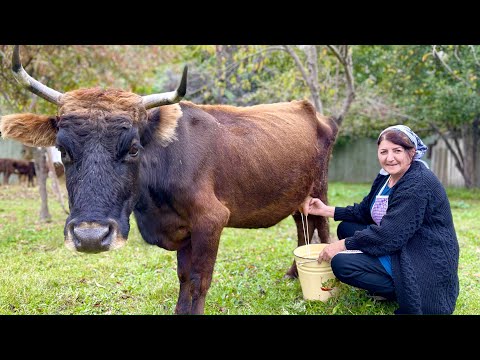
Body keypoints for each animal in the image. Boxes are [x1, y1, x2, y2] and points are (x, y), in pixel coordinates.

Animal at [0, 45, 338, 316]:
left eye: (134, 148)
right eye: (63, 150)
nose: (91, 237)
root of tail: (310, 110)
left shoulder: (211, 219)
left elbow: (198, 281)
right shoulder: (183, 229)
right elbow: (183, 278)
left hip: (319, 188)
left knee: (320, 227)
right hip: (296, 195)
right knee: (302, 228)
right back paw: (294, 272)